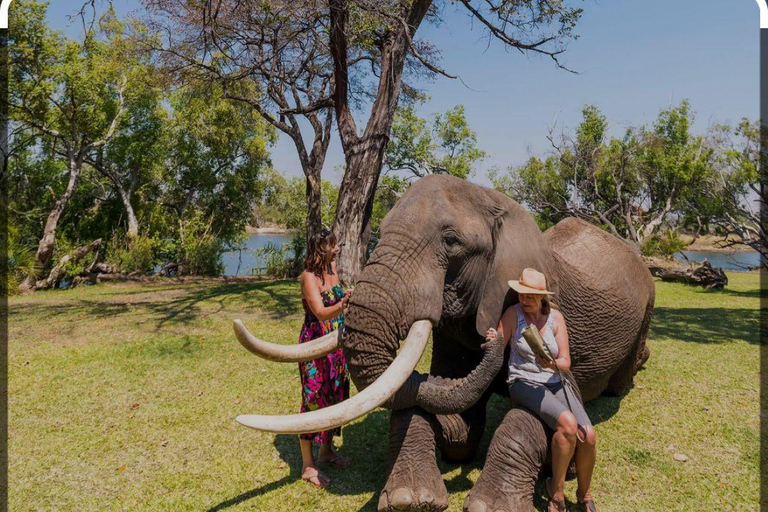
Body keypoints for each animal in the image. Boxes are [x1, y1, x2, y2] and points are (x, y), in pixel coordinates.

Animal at [234, 174, 656, 510]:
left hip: (649, 303)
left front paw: (491, 507)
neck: (498, 204)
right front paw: (410, 499)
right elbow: (454, 424)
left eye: (451, 242)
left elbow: (538, 417)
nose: (495, 340)